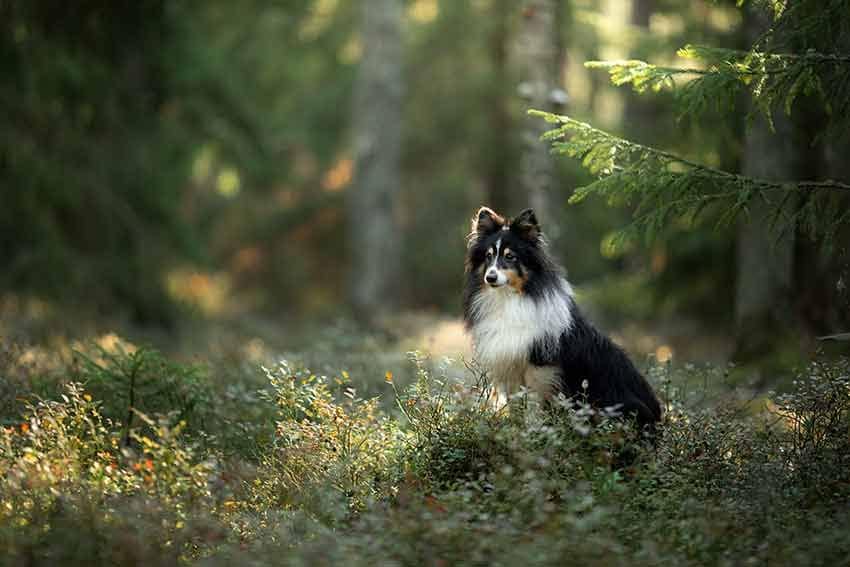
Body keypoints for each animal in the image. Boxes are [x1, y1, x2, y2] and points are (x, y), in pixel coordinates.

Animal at [460, 207, 660, 430]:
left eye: (510, 256)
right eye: (488, 256)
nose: (490, 278)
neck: (509, 299)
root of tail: (659, 418)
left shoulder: (540, 368)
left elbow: (534, 406)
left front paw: (535, 431)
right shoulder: (510, 366)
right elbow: (516, 406)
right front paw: (514, 431)